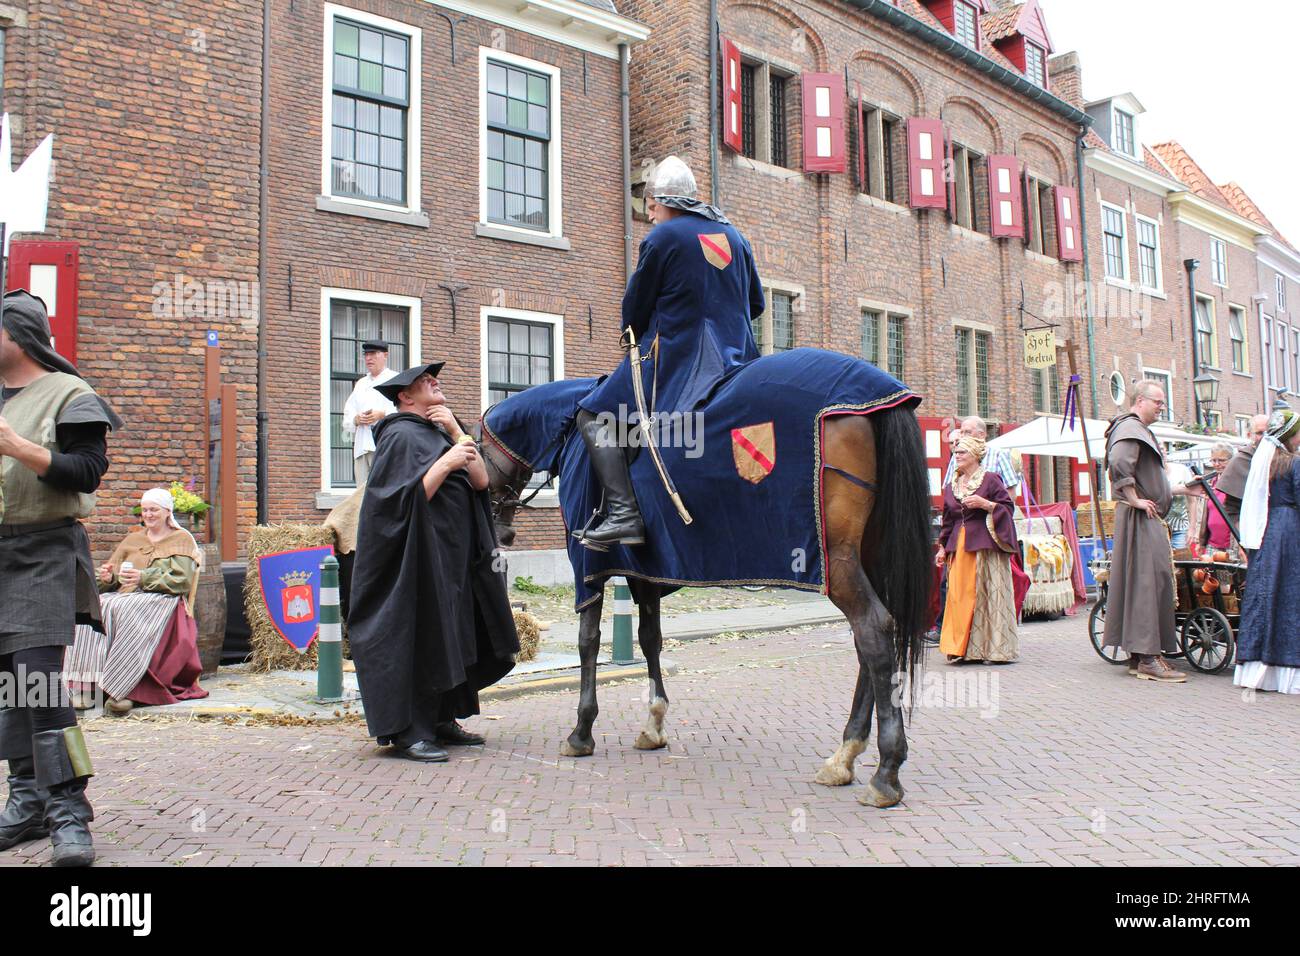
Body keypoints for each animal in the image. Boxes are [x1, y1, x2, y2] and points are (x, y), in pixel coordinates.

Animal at [480, 403, 935, 806]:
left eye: (478, 455)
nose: (503, 534)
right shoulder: (646, 573)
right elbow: (650, 638)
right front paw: (654, 725)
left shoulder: (588, 568)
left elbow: (588, 641)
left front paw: (581, 733)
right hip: (868, 555)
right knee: (867, 644)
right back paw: (844, 758)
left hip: (838, 562)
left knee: (874, 630)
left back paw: (885, 774)